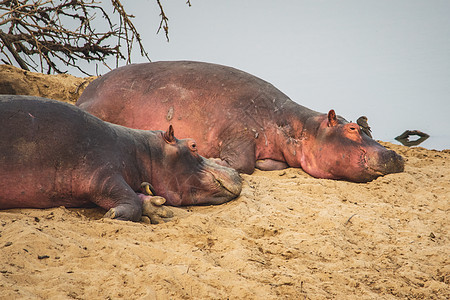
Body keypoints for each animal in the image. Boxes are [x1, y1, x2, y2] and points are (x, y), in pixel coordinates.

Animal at [0, 95, 243, 221]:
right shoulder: (101, 170)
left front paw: (156, 206)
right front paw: (113, 214)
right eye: (193, 145)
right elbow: (129, 200)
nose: (235, 171)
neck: (142, 151)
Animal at [77, 60, 404, 182]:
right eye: (352, 129)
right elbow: (243, 162)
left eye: (367, 126)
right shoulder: (240, 129)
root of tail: (85, 94)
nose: (396, 154)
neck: (300, 127)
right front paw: (217, 161)